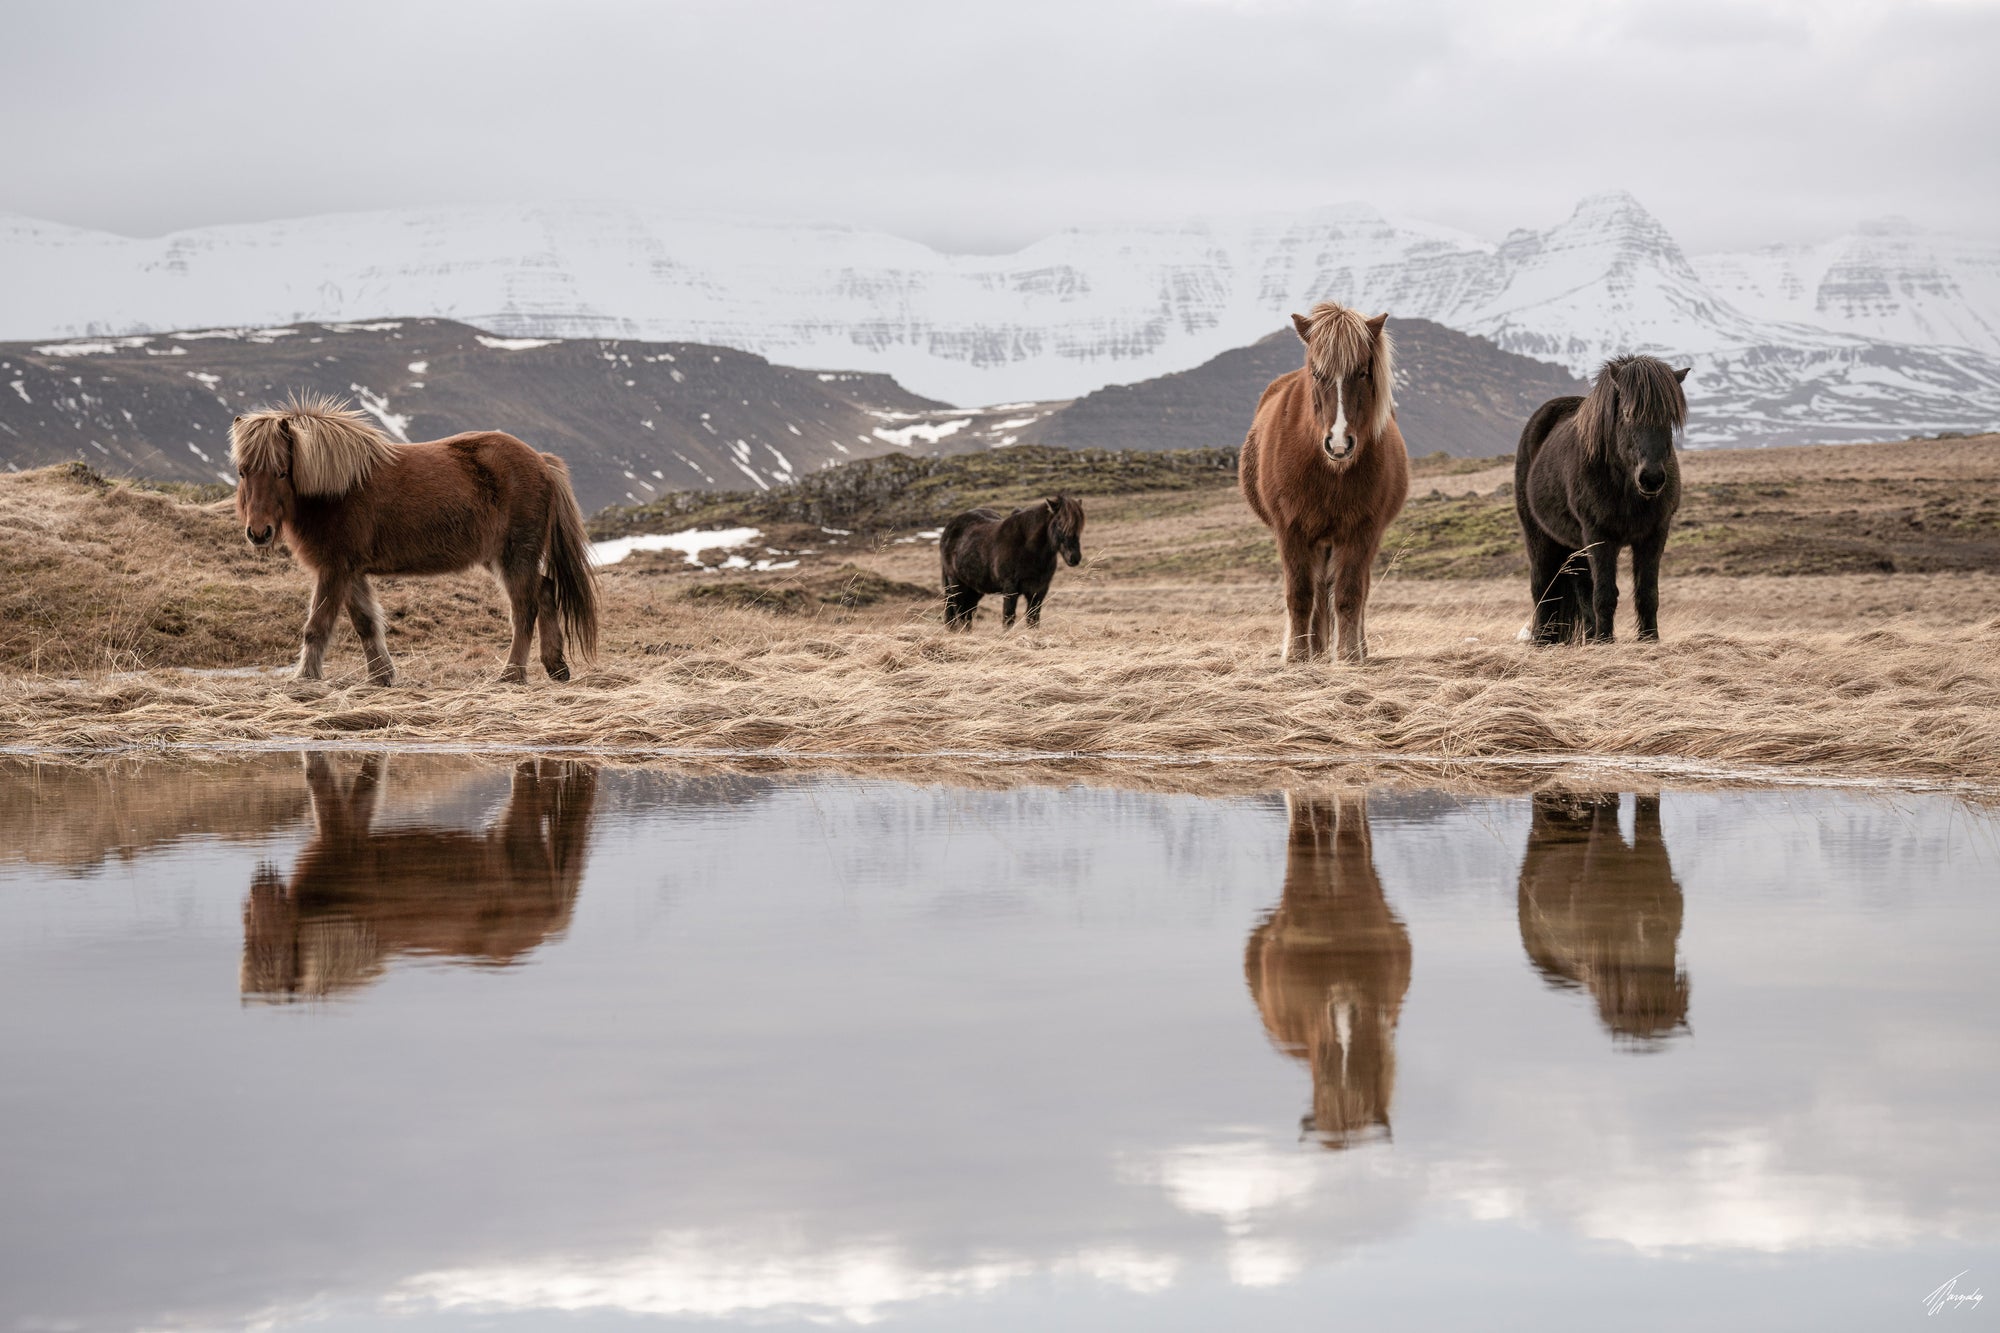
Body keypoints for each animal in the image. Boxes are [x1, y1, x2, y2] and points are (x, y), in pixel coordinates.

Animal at [230, 393, 599, 685]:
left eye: (281, 471)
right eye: (243, 471)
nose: (259, 532)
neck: (337, 487)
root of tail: (541, 462)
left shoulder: (334, 569)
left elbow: (317, 626)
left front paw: (305, 678)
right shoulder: (350, 570)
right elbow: (365, 622)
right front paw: (381, 676)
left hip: (515, 555)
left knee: (525, 608)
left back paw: (511, 675)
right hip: (502, 557)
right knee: (546, 588)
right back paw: (555, 667)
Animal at [939, 495, 1085, 630]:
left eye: (1079, 527)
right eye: (1060, 524)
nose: (1074, 558)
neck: (1027, 548)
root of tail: (950, 527)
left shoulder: (1039, 591)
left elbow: (1033, 619)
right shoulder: (1010, 589)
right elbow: (1008, 618)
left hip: (974, 587)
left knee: (967, 613)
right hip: (956, 582)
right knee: (958, 609)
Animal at [1239, 301, 1410, 663]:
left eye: (1363, 372)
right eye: (1317, 374)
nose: (1339, 444)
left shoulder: (1361, 531)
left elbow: (1349, 593)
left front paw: (1348, 655)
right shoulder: (1291, 530)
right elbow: (1301, 594)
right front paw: (1297, 655)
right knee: (1316, 590)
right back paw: (1314, 649)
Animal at [1515, 356, 1690, 643]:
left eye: (1668, 417)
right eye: (1628, 414)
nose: (1651, 478)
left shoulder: (1654, 535)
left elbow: (1647, 593)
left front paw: (1649, 639)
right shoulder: (1600, 535)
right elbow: (1606, 594)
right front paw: (1606, 642)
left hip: (1576, 547)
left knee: (1583, 591)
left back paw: (1589, 637)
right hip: (1540, 537)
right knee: (1543, 589)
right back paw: (1544, 641)